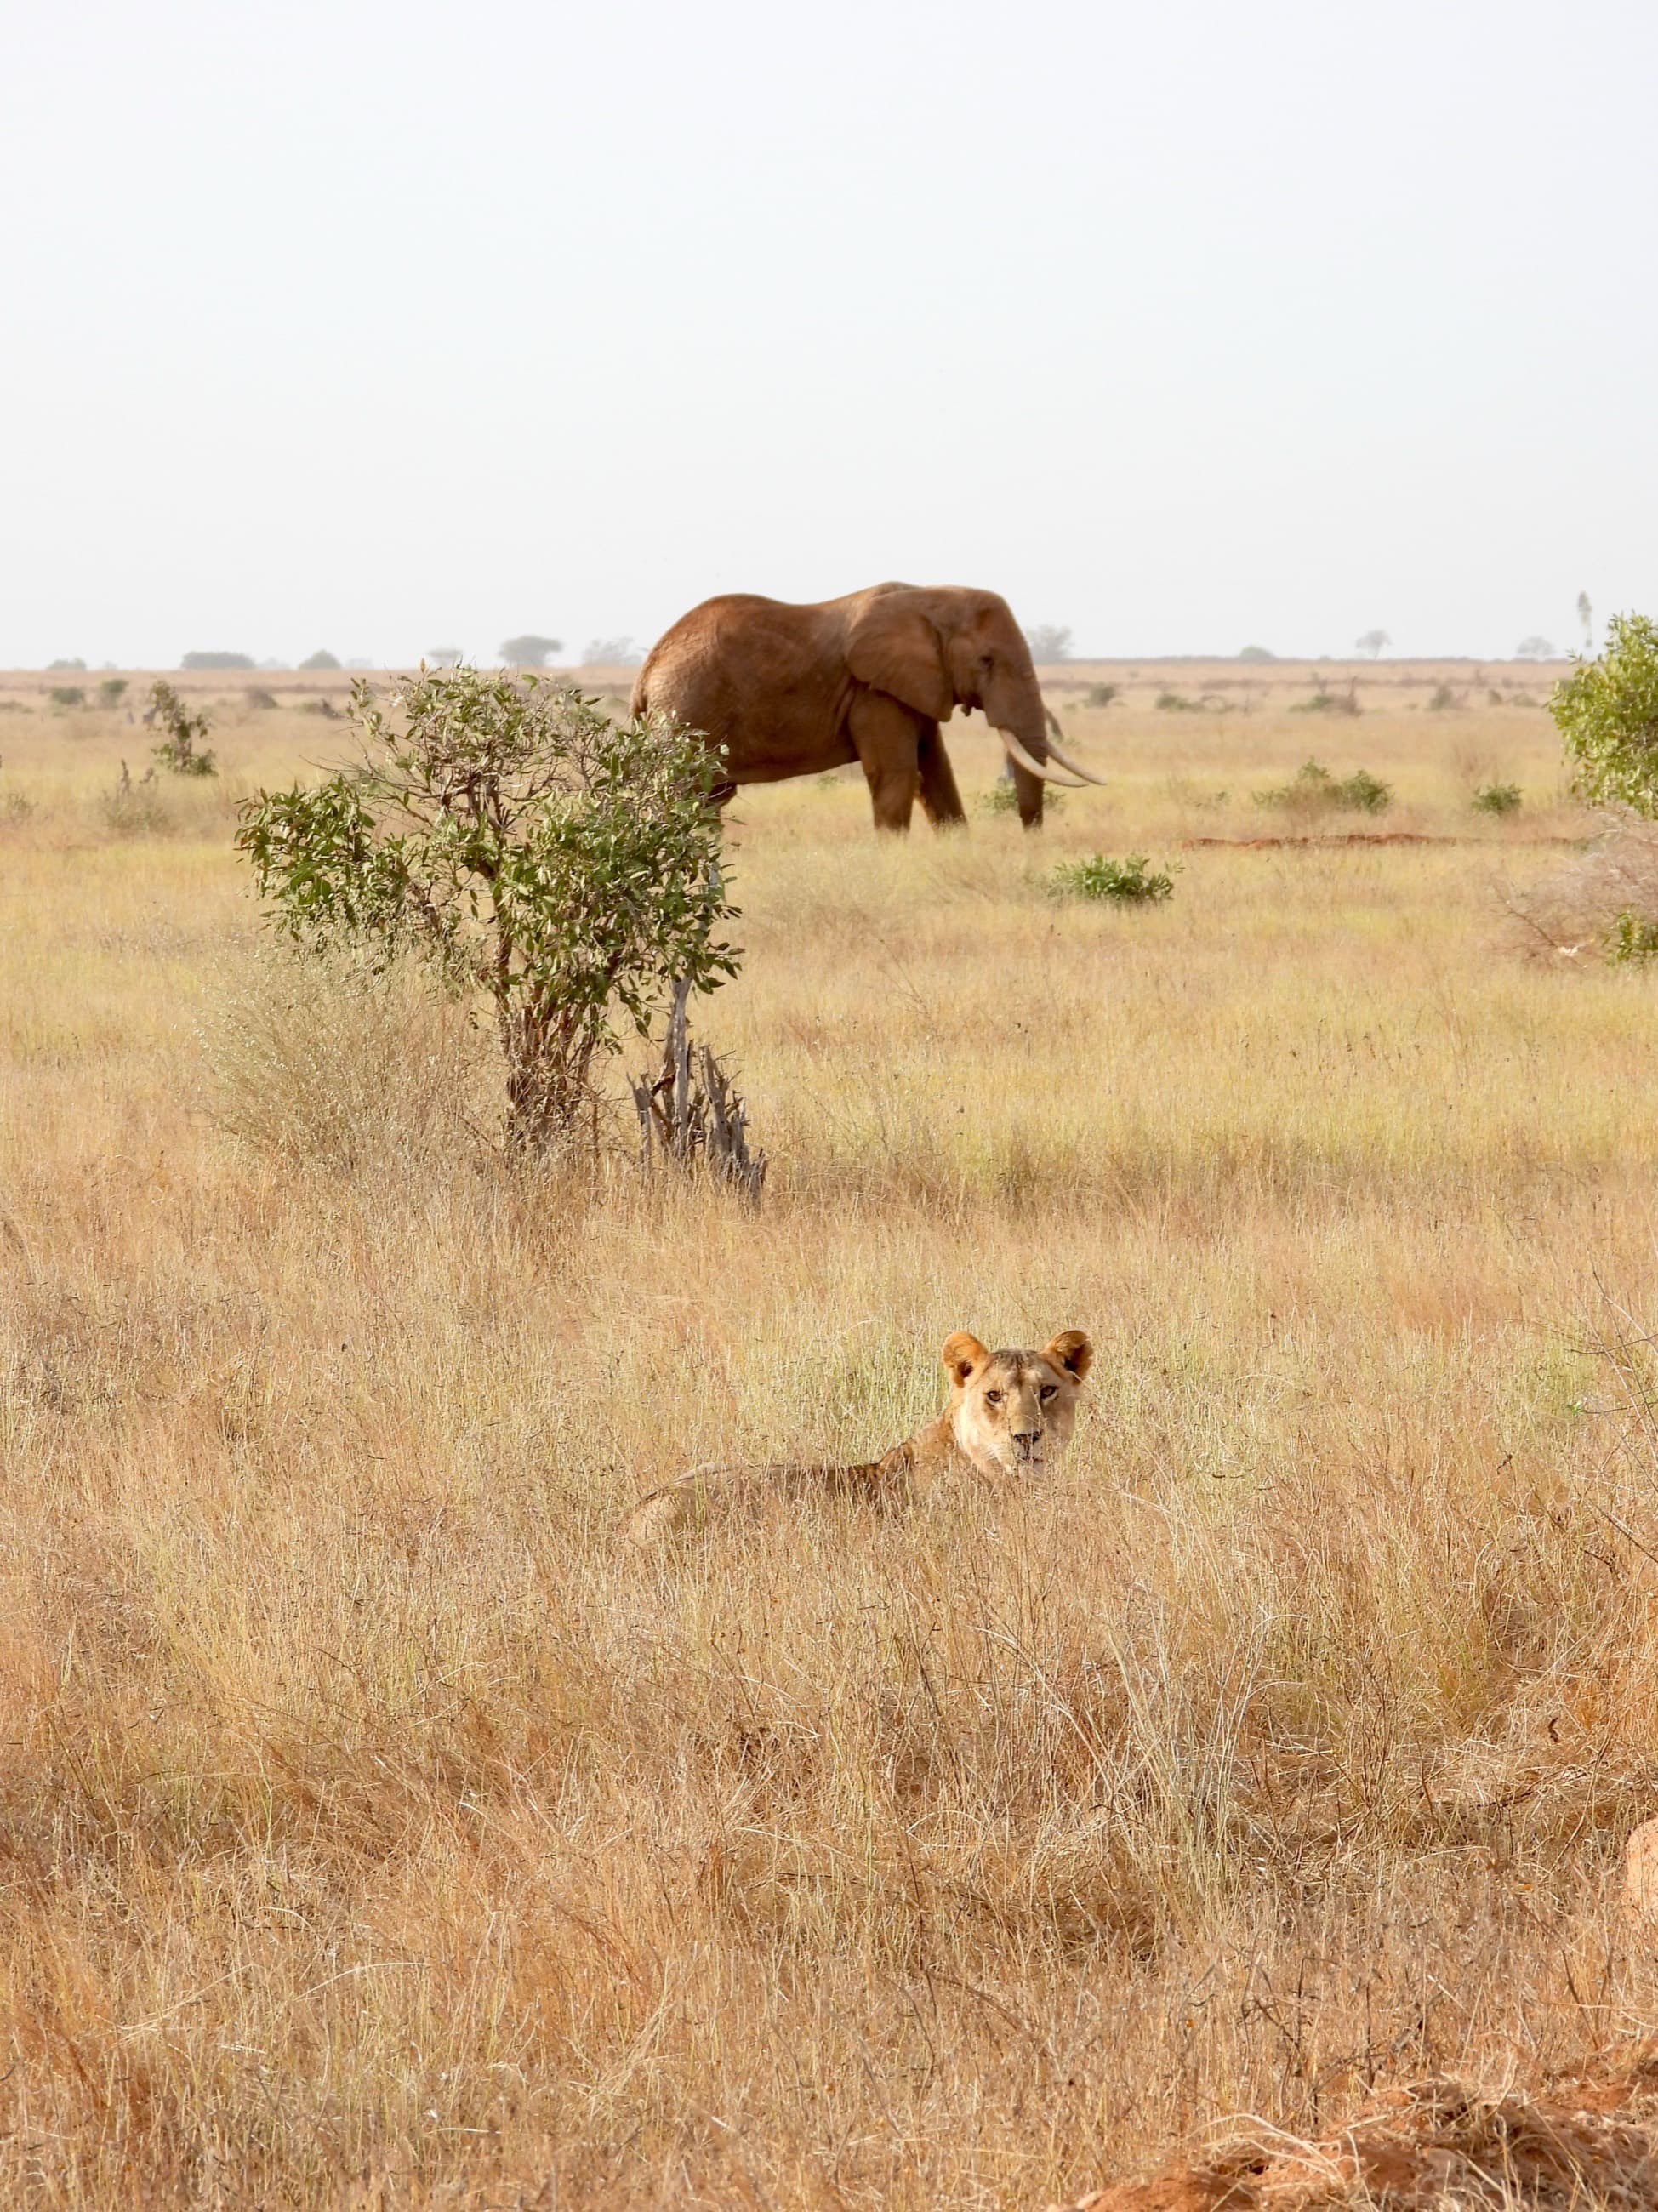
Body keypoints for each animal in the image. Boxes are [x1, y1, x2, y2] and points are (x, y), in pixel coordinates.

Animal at [631, 582, 1102, 832]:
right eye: (986, 661)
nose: (1029, 835)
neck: (930, 597)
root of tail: (645, 672)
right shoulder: (875, 693)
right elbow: (897, 773)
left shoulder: (914, 686)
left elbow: (937, 772)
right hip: (687, 709)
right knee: (681, 793)